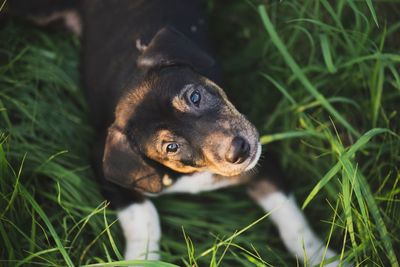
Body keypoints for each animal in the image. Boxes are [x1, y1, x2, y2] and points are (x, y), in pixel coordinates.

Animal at [10, 0, 340, 266]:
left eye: (194, 97)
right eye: (171, 147)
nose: (239, 150)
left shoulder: (263, 164)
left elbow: (292, 220)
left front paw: (322, 257)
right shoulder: (103, 165)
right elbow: (145, 216)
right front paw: (141, 258)